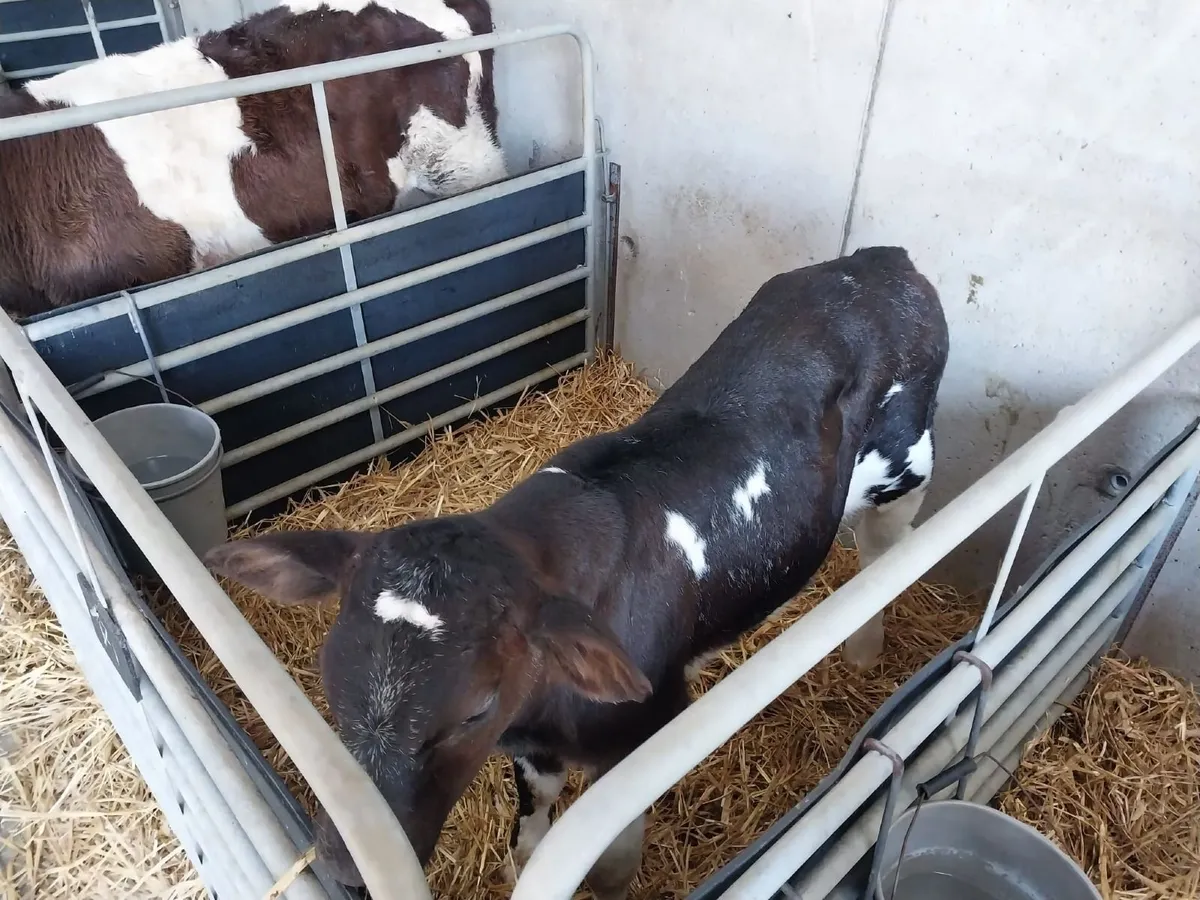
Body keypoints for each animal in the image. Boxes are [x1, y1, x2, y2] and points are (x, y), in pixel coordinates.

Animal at [204, 246, 950, 898]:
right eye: (330, 677)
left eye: (474, 708)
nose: (346, 867)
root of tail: (884, 261)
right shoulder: (531, 747)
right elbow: (532, 819)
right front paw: (517, 865)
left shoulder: (640, 739)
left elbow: (610, 854)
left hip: (906, 465)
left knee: (886, 550)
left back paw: (865, 648)